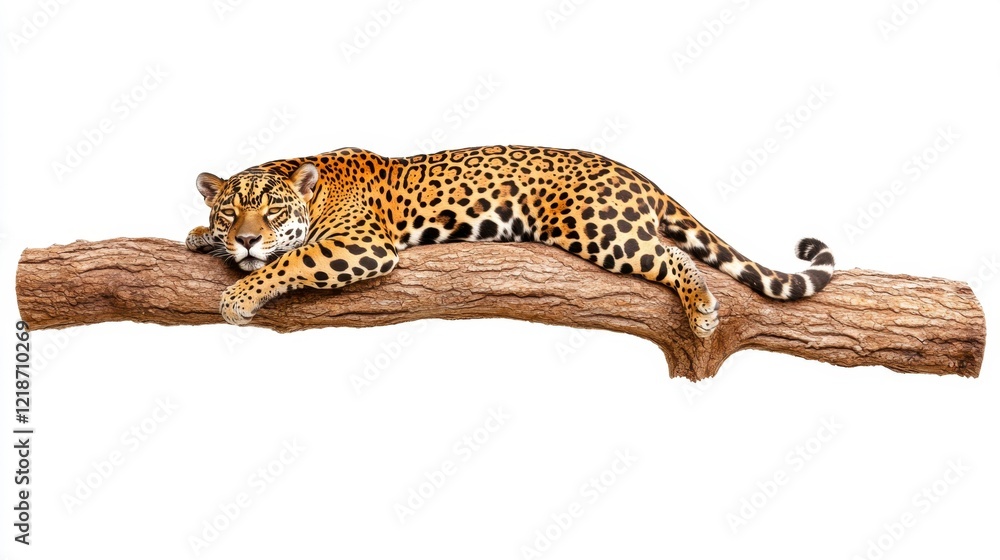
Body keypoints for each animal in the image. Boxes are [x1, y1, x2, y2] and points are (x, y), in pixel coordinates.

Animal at [186, 145, 835, 338]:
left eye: (271, 209)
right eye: (231, 210)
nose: (246, 240)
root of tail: (636, 174)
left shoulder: (363, 244)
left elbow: (292, 258)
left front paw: (239, 295)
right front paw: (198, 236)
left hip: (600, 230)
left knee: (671, 252)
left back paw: (702, 310)